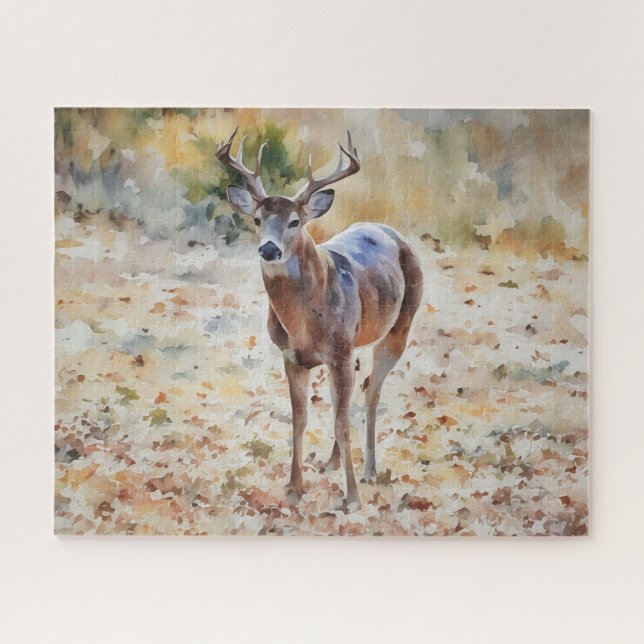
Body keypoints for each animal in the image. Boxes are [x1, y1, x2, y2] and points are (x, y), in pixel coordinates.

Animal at [216, 128, 423, 509]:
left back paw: (369, 471)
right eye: (257, 219)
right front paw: (294, 487)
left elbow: (341, 422)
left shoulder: (339, 353)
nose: (269, 249)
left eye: (295, 221)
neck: (303, 325)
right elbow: (300, 419)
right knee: (352, 395)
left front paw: (352, 497)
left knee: (372, 391)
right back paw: (332, 463)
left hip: (399, 325)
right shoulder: (293, 358)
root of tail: (392, 232)